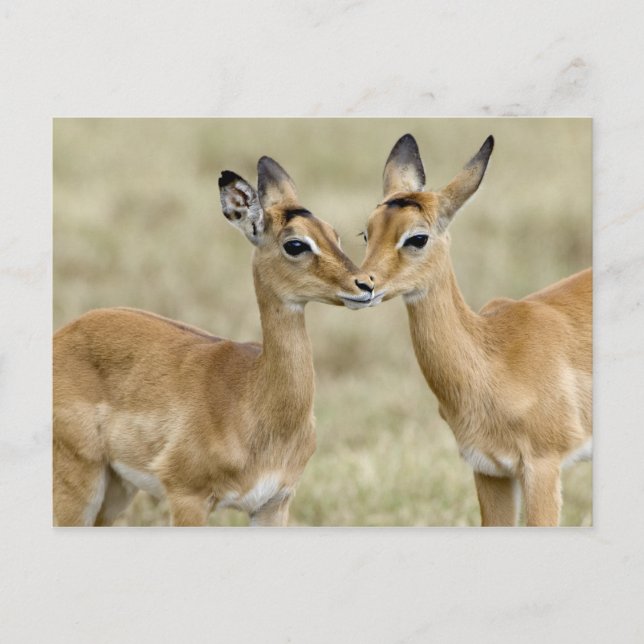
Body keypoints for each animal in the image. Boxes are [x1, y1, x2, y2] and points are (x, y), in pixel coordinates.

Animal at [53, 156, 377, 527]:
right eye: (295, 244)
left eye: (334, 234)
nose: (365, 284)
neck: (253, 395)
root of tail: (63, 334)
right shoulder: (187, 497)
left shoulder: (274, 503)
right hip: (81, 484)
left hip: (116, 490)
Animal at [359, 134, 592, 526]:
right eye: (366, 232)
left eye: (417, 237)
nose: (362, 284)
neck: (492, 357)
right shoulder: (488, 469)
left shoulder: (543, 466)